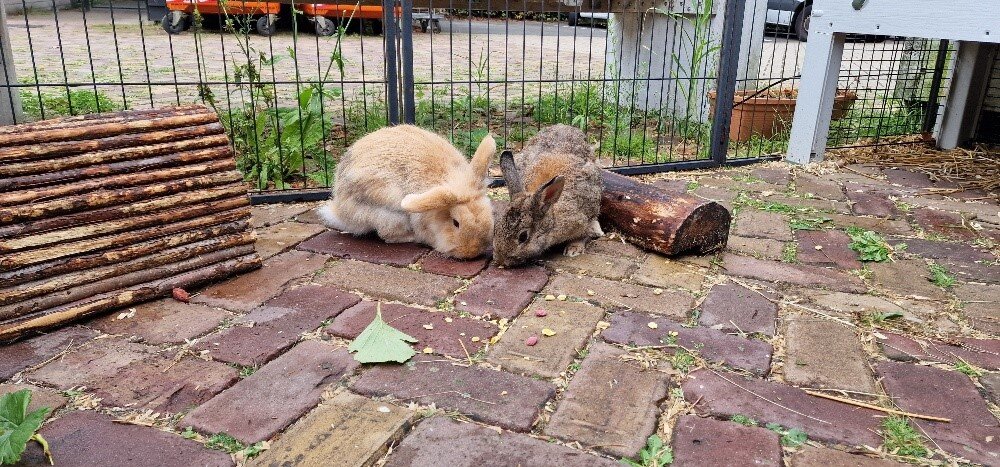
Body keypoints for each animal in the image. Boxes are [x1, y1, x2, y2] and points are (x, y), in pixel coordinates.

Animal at [318, 124, 494, 260]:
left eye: (490, 214)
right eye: (455, 223)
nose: (471, 253)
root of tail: (341, 211)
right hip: (389, 215)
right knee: (388, 236)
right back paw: (413, 237)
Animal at [492, 124, 600, 268]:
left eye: (523, 237)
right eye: (496, 227)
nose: (500, 260)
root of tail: (563, 125)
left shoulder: (584, 219)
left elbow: (584, 235)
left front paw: (573, 249)